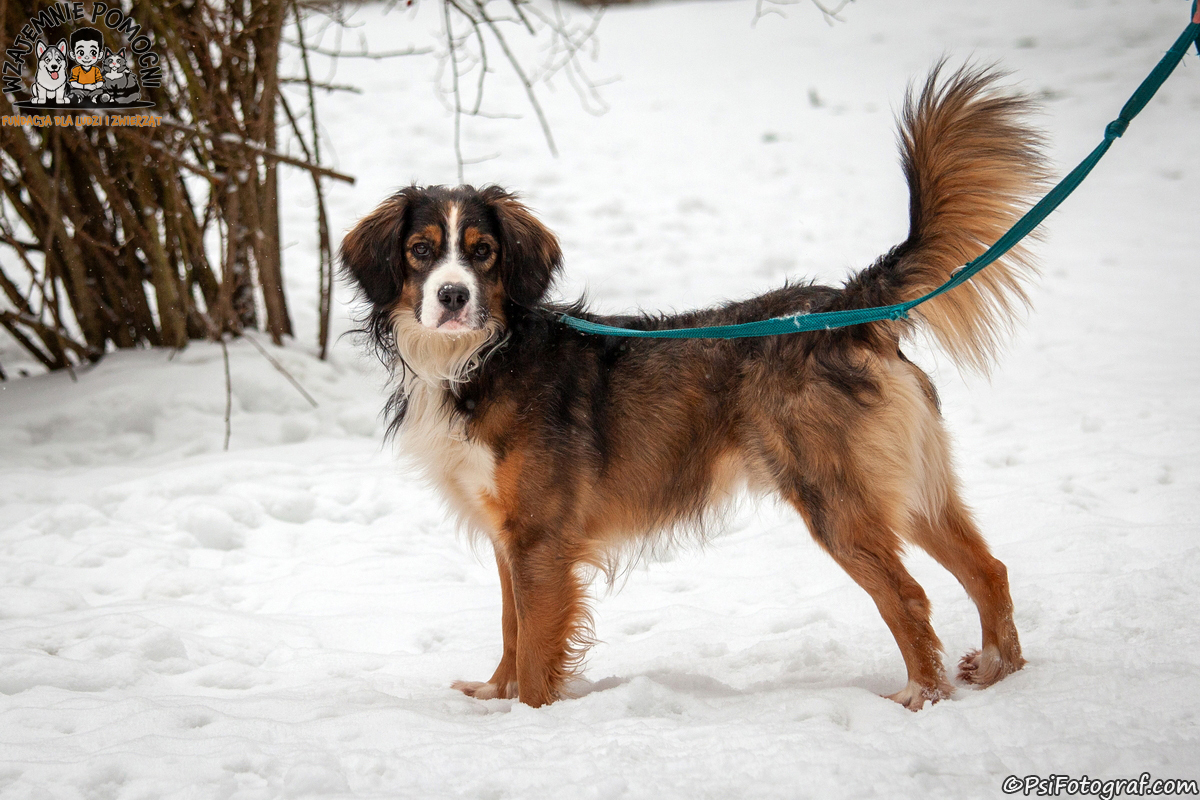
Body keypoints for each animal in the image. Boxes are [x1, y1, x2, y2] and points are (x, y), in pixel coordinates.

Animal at [341, 64, 1047, 710]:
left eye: (482, 251)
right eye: (421, 250)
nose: (453, 296)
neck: (482, 357)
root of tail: (844, 308)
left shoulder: (540, 538)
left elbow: (536, 649)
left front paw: (532, 720)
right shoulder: (508, 534)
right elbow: (513, 629)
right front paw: (494, 695)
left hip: (834, 494)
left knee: (908, 596)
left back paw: (921, 698)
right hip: (907, 487)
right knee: (989, 570)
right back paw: (999, 671)